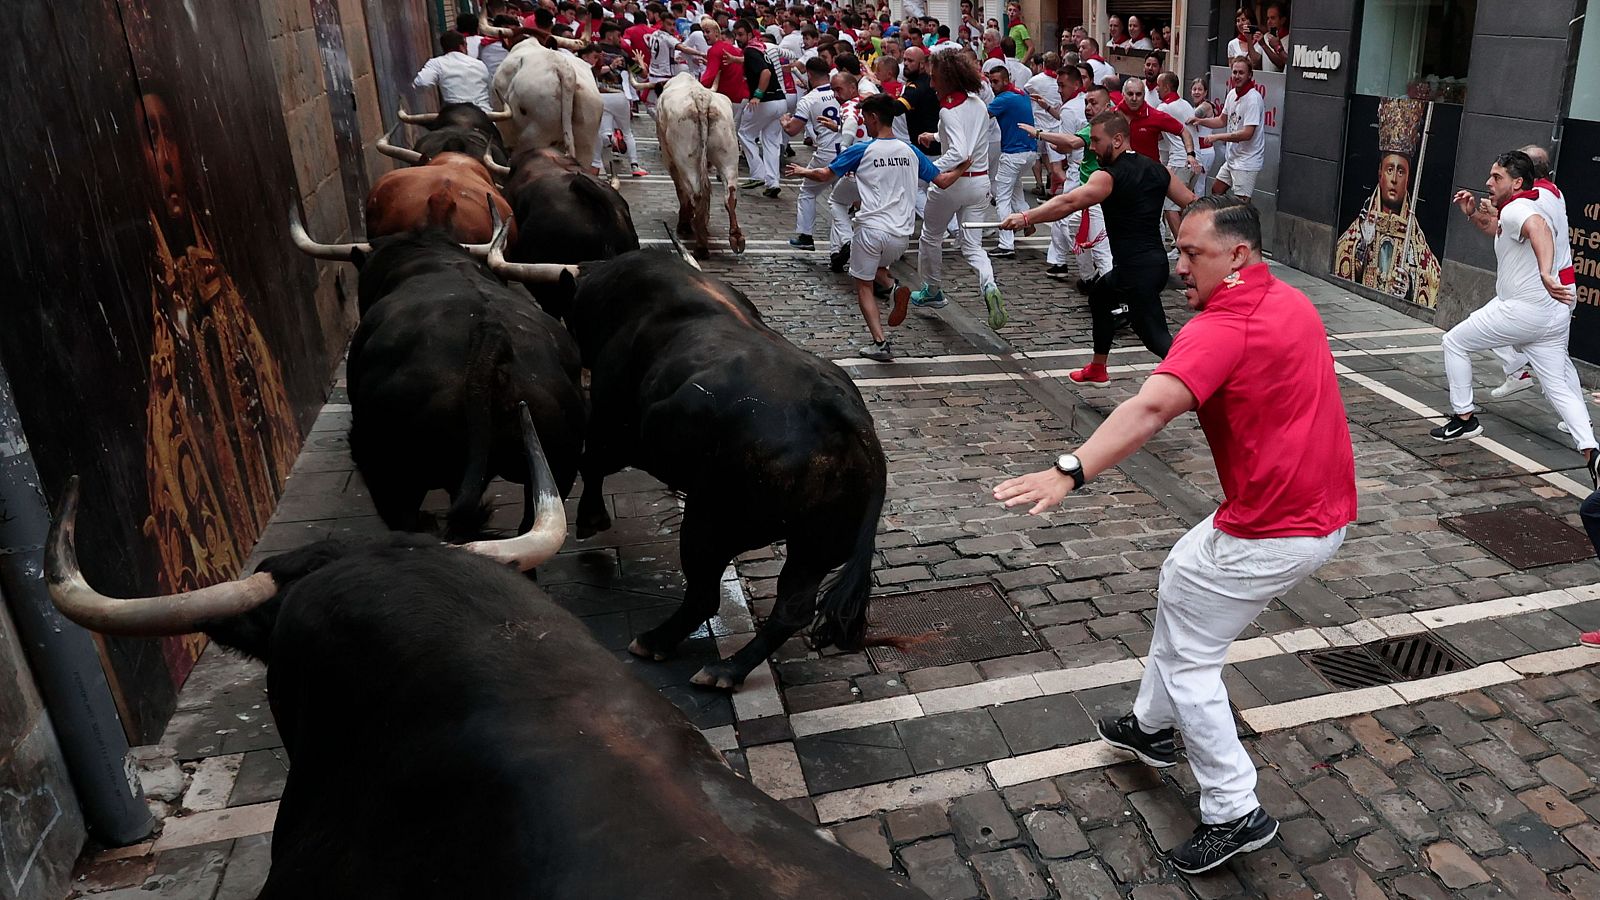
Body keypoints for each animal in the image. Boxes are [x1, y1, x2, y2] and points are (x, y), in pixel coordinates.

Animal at [563, 249, 889, 685]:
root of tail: (841, 413)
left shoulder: (613, 429)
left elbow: (590, 463)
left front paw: (590, 518)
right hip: (814, 547)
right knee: (792, 608)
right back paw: (727, 669)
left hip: (710, 522)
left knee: (704, 595)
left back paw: (658, 643)